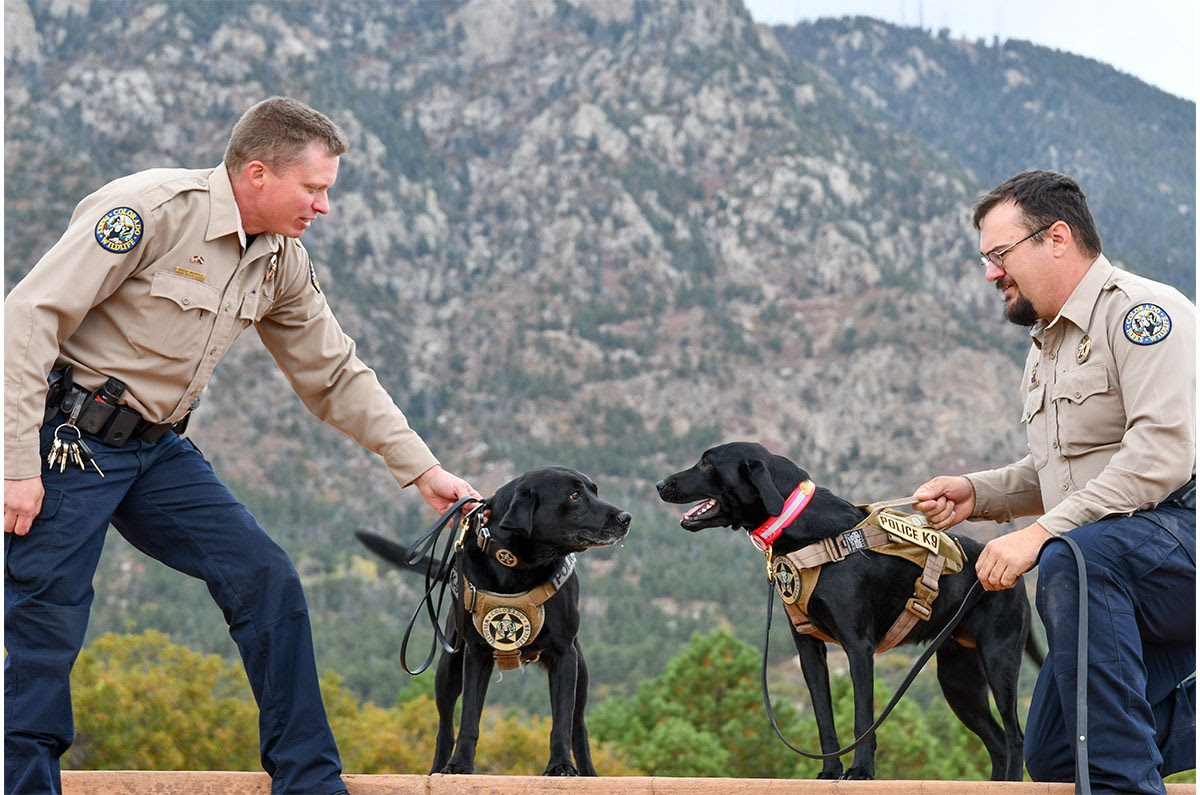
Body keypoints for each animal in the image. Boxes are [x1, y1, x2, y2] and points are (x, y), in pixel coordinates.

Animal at [357, 466, 631, 776]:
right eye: (574, 495)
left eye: (594, 491)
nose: (625, 518)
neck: (520, 565)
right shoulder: (476, 655)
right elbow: (468, 719)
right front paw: (459, 764)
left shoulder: (564, 655)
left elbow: (561, 722)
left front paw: (561, 765)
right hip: (448, 667)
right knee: (444, 727)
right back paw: (438, 767)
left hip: (580, 672)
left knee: (578, 726)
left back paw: (587, 773)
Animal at [657, 442, 1039, 781]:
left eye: (707, 463)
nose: (660, 484)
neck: (805, 532)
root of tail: (1015, 573)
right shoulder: (809, 651)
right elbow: (824, 720)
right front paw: (830, 771)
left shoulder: (858, 647)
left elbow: (862, 719)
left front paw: (861, 770)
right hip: (958, 681)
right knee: (998, 742)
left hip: (998, 660)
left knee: (1016, 736)